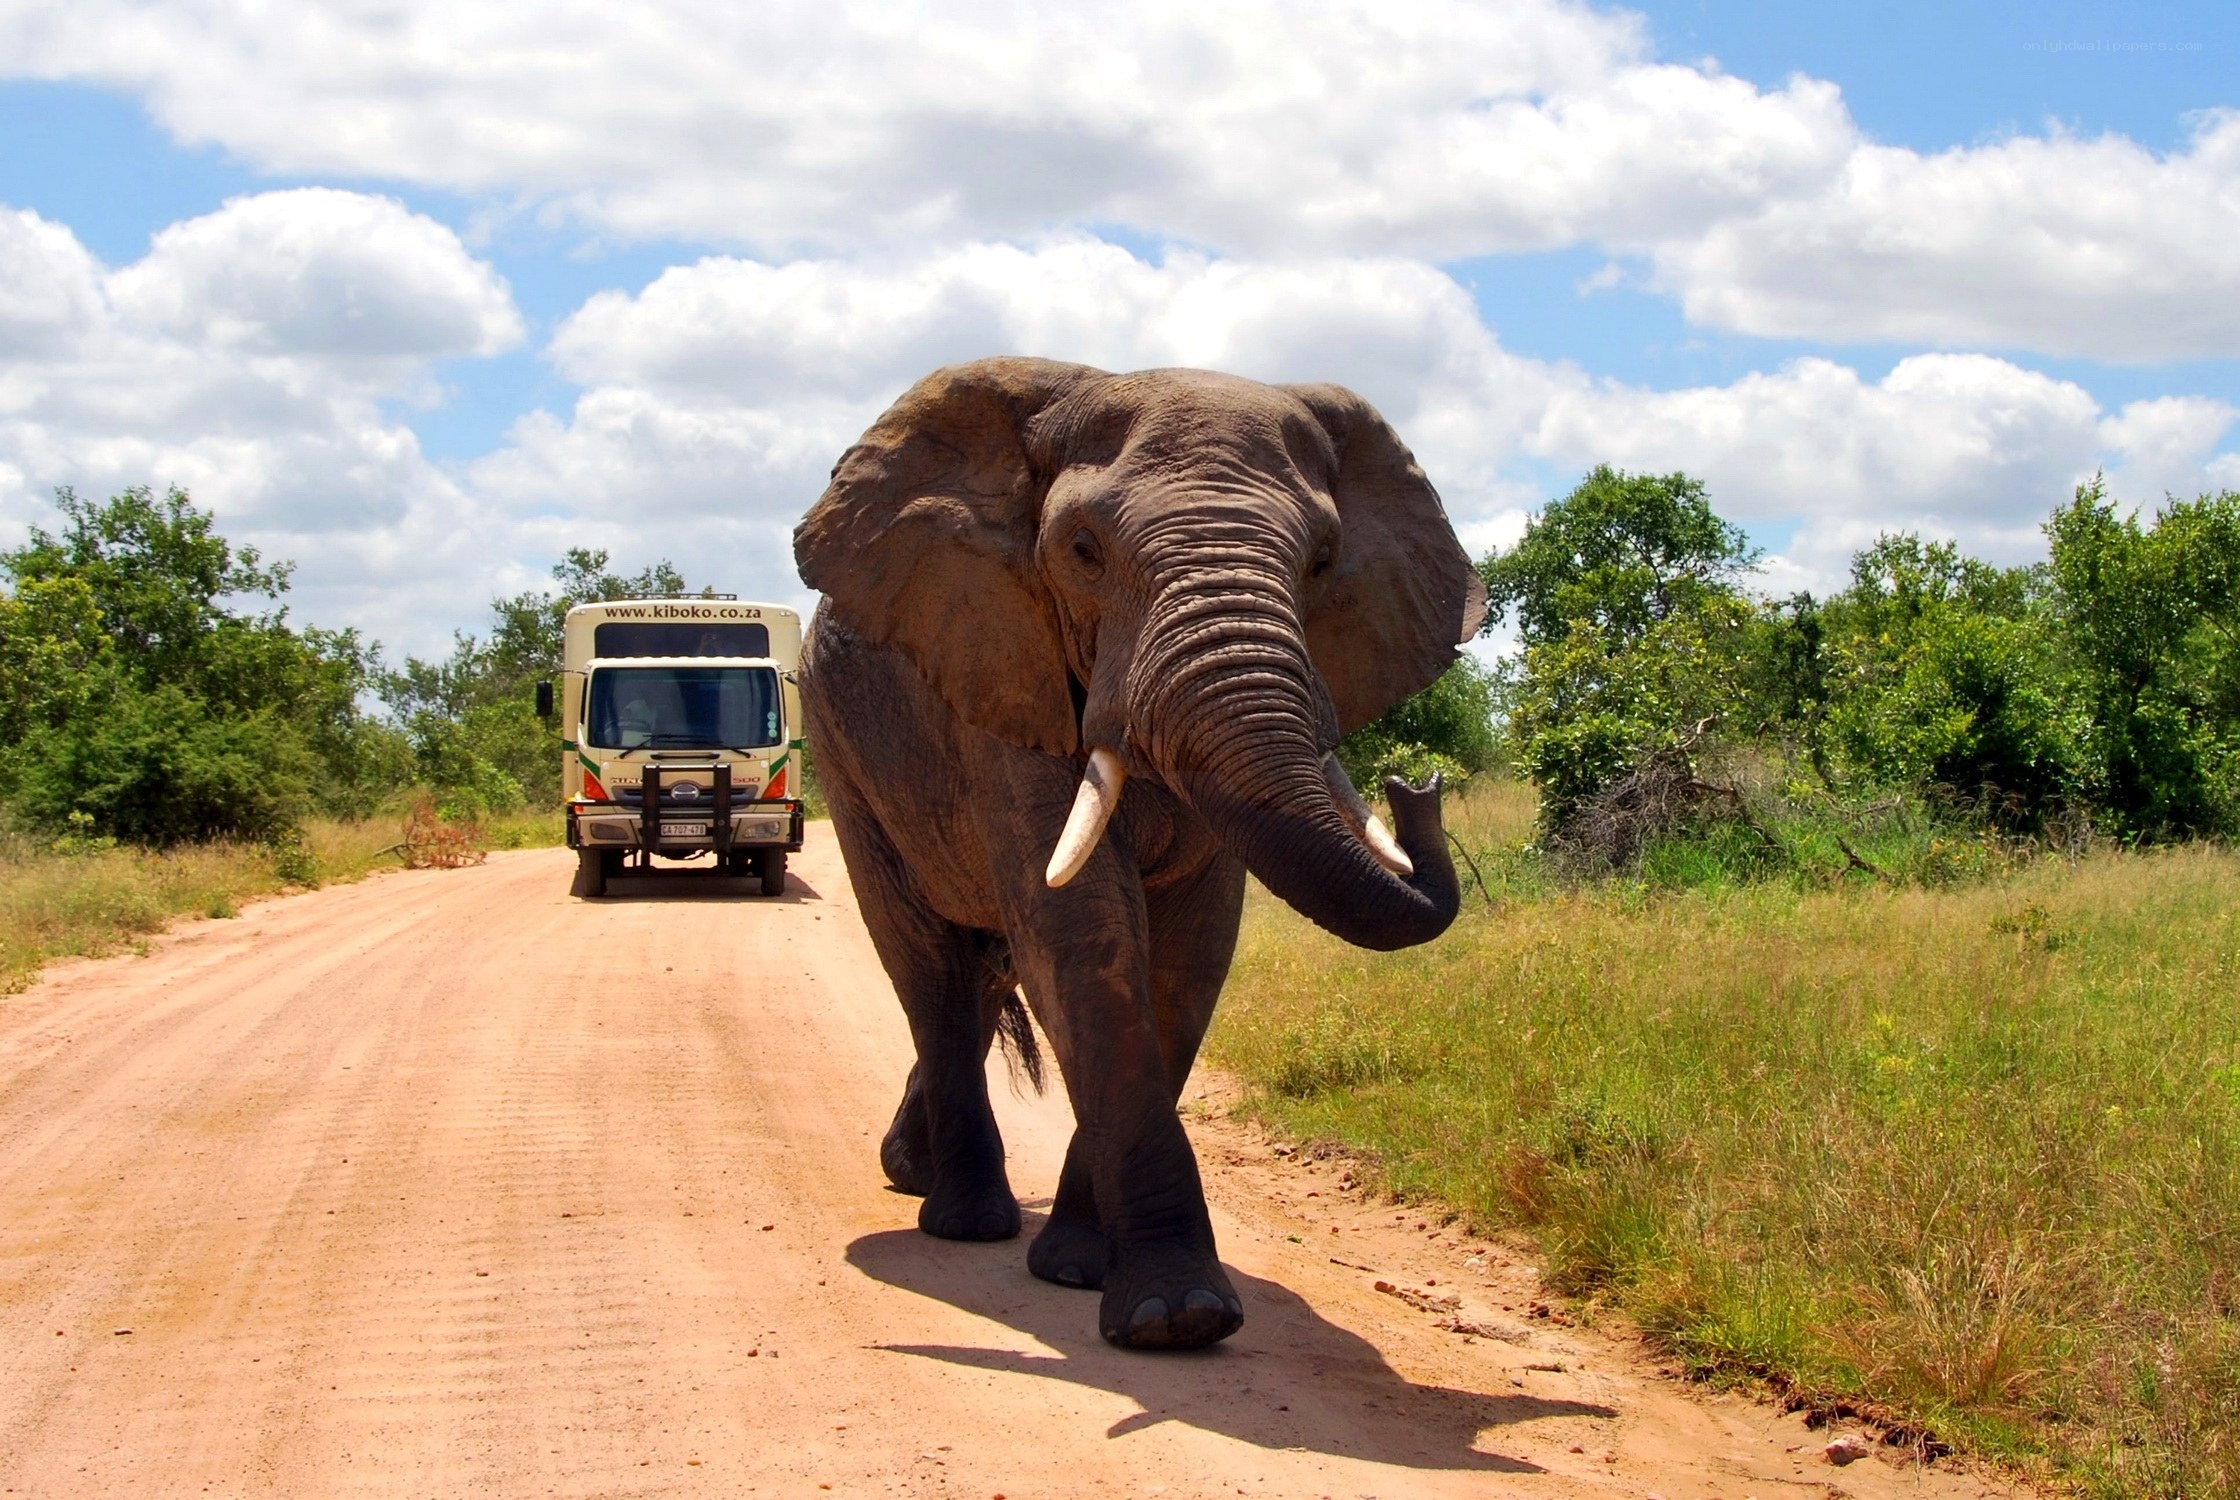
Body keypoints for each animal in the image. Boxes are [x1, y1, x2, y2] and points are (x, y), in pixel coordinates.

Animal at [793, 357, 1486, 1351]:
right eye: (1083, 549)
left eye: (1322, 560)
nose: (1413, 790)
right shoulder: (1004, 663)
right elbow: (1085, 938)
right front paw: (1176, 1317)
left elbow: (1189, 958)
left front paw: (1088, 1273)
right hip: (843, 751)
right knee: (931, 970)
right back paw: (964, 1221)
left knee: (984, 972)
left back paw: (914, 1172)